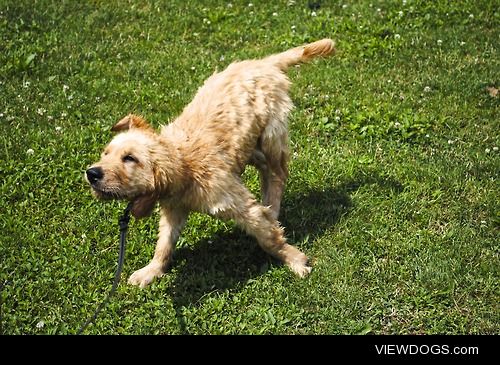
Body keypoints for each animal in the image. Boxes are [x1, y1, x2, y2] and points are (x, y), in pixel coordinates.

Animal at [86, 38, 336, 286]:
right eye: (106, 154)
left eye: (130, 158)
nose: (92, 173)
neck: (185, 165)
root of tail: (262, 62)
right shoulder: (173, 209)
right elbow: (164, 243)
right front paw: (152, 270)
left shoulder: (240, 204)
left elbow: (269, 239)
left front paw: (294, 259)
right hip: (252, 147)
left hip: (271, 136)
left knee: (277, 173)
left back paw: (272, 207)